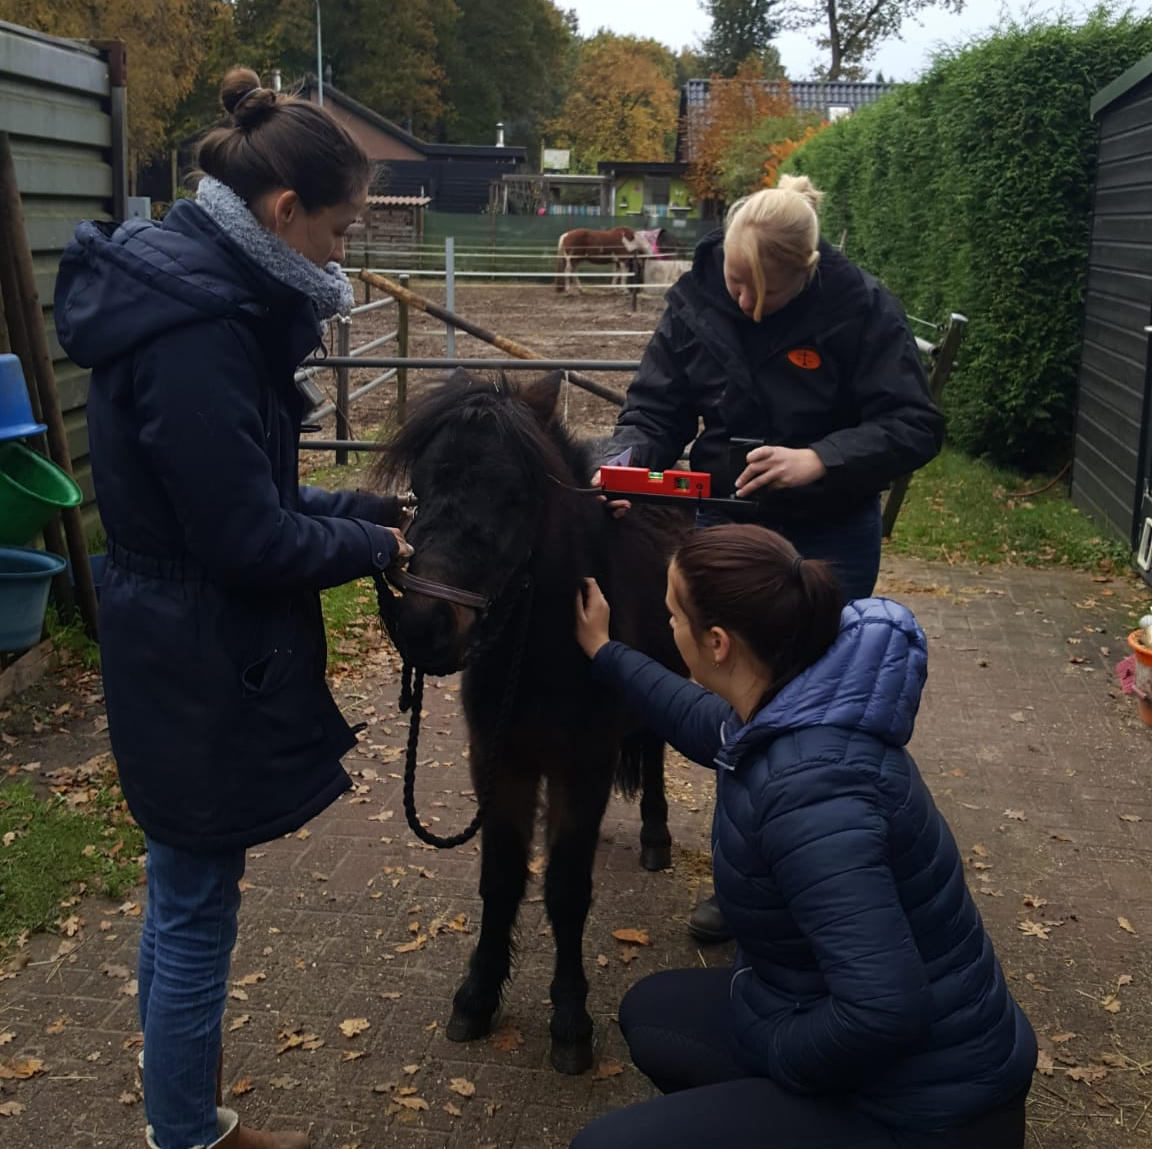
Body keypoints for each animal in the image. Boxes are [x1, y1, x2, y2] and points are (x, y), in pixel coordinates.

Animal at [372, 369, 689, 1074]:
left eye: (513, 496)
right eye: (421, 490)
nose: (424, 627)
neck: (544, 651)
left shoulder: (584, 766)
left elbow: (567, 892)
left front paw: (571, 1022)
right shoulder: (500, 761)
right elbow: (501, 879)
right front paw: (477, 995)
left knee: (655, 752)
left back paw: (655, 838)